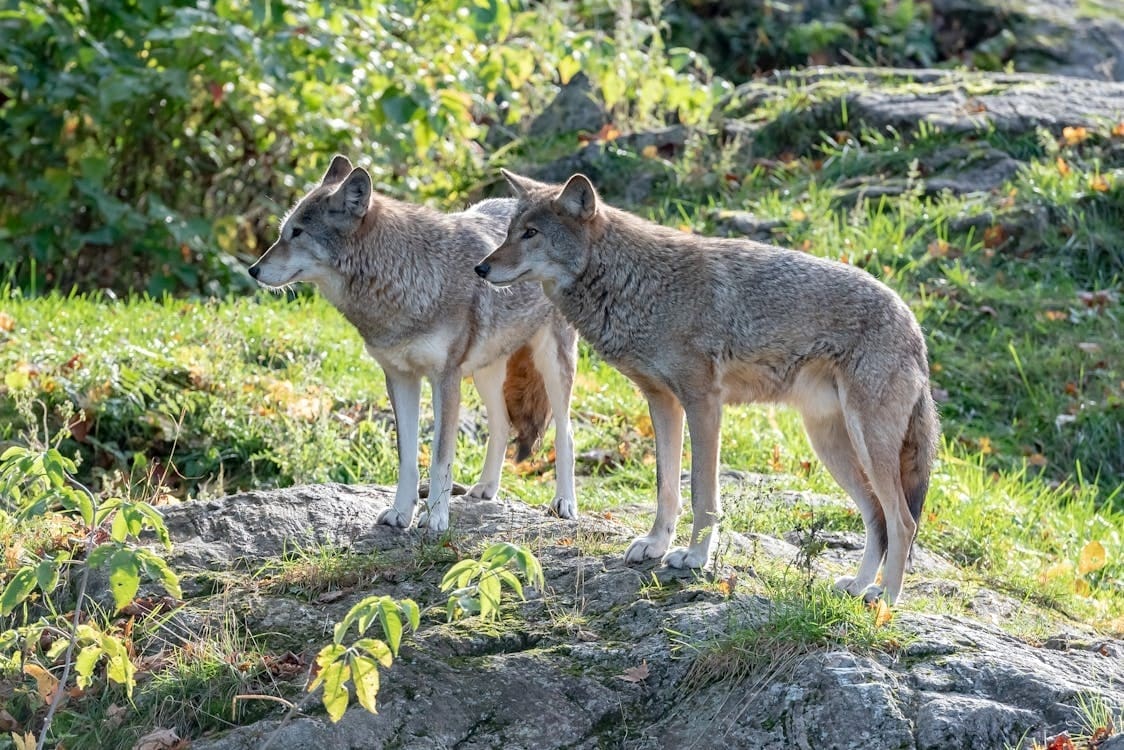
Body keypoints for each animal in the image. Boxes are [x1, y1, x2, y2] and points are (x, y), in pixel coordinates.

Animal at [248, 155, 578, 532]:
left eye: (297, 233)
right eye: (282, 232)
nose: (253, 270)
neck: (404, 280)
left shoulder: (445, 378)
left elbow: (439, 457)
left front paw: (435, 517)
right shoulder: (399, 378)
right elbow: (406, 456)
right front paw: (400, 513)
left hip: (552, 365)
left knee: (565, 432)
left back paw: (564, 503)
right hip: (486, 372)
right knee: (502, 424)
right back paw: (485, 490)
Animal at [475, 170, 939, 603]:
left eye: (531, 234)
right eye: (509, 232)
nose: (481, 267)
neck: (640, 284)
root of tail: (914, 326)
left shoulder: (704, 403)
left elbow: (702, 492)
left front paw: (695, 558)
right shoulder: (662, 402)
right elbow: (666, 487)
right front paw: (656, 546)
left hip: (865, 444)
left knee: (903, 521)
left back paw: (885, 598)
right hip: (830, 446)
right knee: (877, 516)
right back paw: (858, 586)